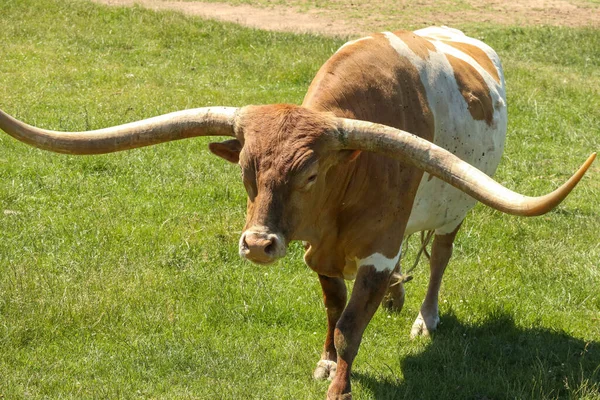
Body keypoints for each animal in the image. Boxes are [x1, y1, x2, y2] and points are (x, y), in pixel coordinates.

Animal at [0, 26, 596, 398]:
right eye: (246, 169)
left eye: (310, 174)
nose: (258, 244)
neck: (348, 179)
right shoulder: (319, 252)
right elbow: (334, 308)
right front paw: (328, 360)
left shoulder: (379, 248)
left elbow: (354, 322)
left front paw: (341, 385)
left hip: (454, 213)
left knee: (440, 257)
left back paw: (424, 316)